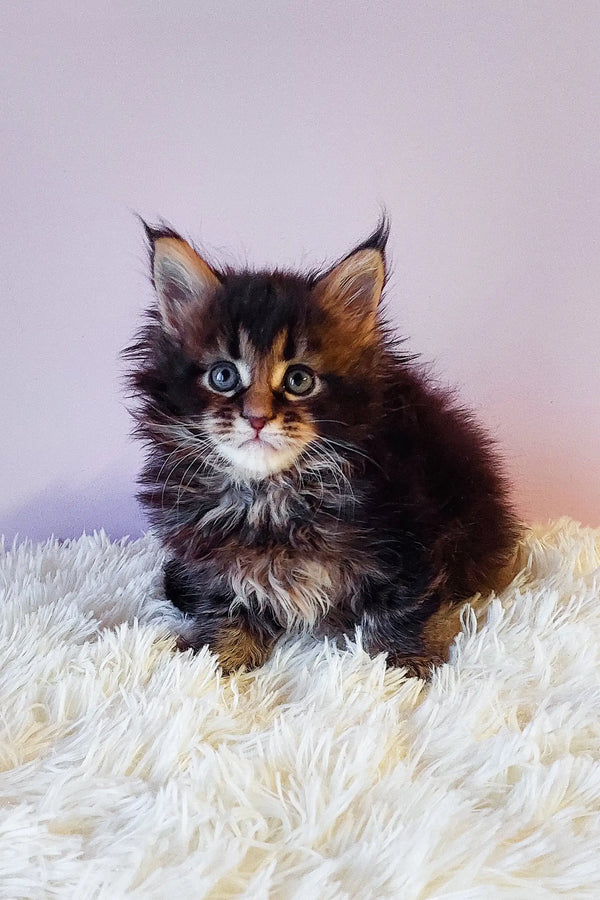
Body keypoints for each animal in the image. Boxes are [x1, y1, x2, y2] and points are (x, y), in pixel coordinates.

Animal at [125, 221, 520, 680]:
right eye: (223, 376)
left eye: (299, 380)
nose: (257, 418)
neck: (271, 496)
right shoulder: (208, 556)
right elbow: (225, 607)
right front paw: (216, 661)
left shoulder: (410, 536)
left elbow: (403, 607)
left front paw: (403, 667)